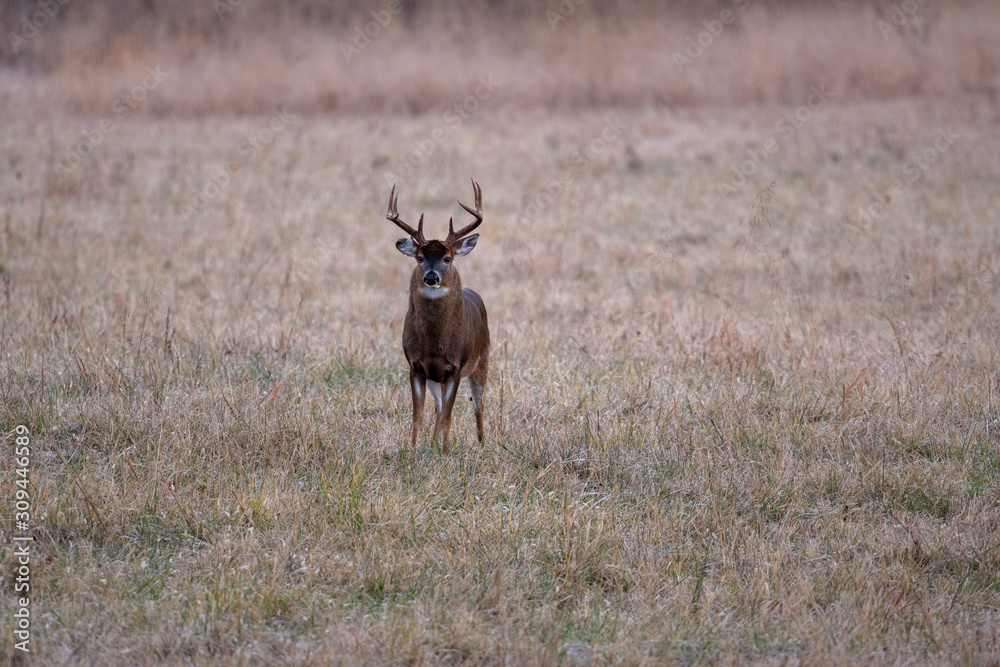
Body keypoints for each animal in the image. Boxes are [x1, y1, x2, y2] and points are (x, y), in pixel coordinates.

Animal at [386, 180, 490, 453]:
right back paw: (433, 443)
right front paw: (413, 450)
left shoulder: (455, 366)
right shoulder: (416, 365)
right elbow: (419, 414)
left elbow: (448, 415)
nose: (431, 277)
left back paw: (481, 444)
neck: (434, 343)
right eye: (420, 257)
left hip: (482, 362)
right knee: (438, 406)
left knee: (478, 405)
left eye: (447, 258)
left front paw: (444, 452)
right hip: (436, 378)